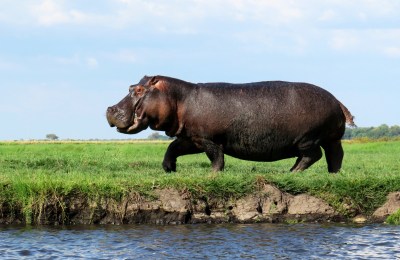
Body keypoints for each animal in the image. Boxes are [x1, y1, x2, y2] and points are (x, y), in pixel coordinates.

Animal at [106, 75, 356, 173]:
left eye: (139, 90)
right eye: (131, 87)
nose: (110, 109)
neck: (179, 98)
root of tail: (336, 100)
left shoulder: (209, 139)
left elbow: (216, 157)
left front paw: (212, 175)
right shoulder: (191, 137)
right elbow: (173, 148)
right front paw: (169, 169)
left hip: (307, 139)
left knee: (312, 156)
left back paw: (291, 173)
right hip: (331, 138)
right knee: (335, 155)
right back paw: (333, 174)